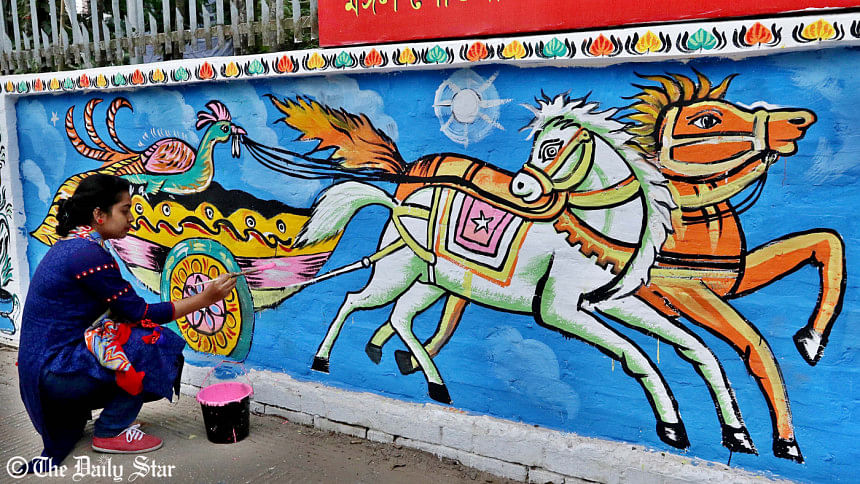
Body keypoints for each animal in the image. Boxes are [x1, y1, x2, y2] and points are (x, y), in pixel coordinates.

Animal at [276, 94, 753, 451]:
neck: (590, 231)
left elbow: (695, 347)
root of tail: (401, 200)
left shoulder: (611, 302)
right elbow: (635, 355)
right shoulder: (560, 311)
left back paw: (430, 380)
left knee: (400, 318)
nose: (520, 186)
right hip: (396, 271)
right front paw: (673, 428)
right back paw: (323, 360)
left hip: (430, 282)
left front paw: (738, 433)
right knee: (353, 300)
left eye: (551, 148)